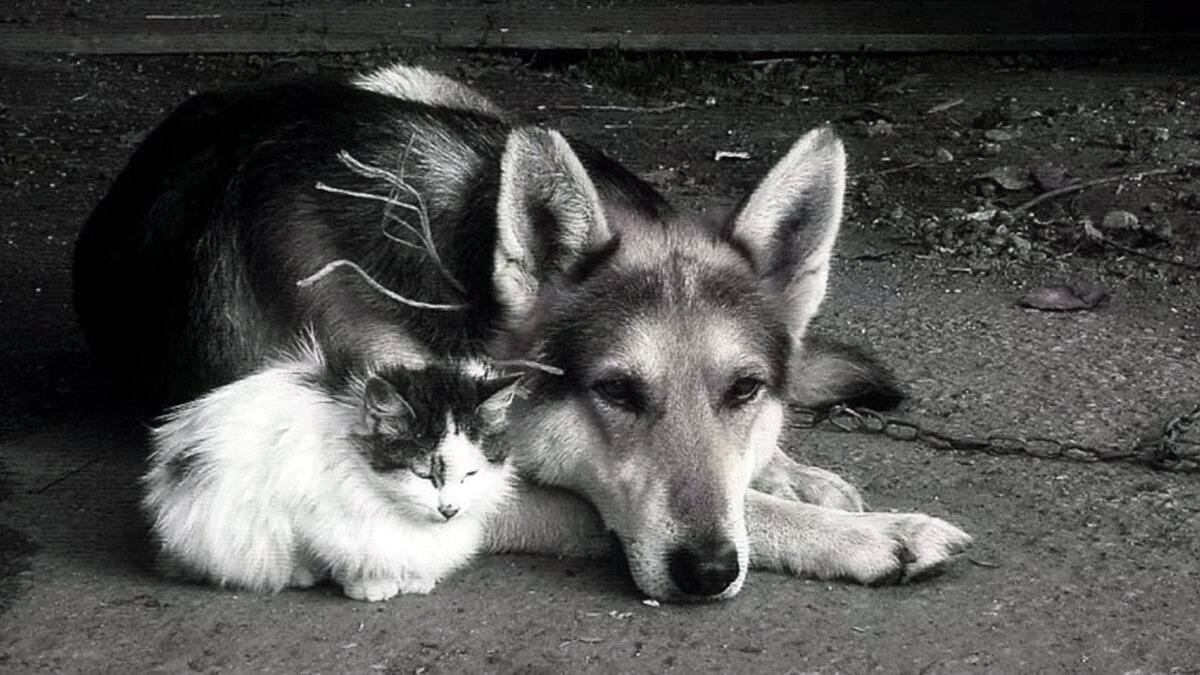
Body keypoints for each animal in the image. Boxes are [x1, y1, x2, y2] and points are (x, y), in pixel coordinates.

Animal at [142, 341, 518, 598]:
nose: (449, 510)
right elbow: (346, 550)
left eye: (471, 474)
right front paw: (370, 585)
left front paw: (414, 579)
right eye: (422, 474)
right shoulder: (305, 507)